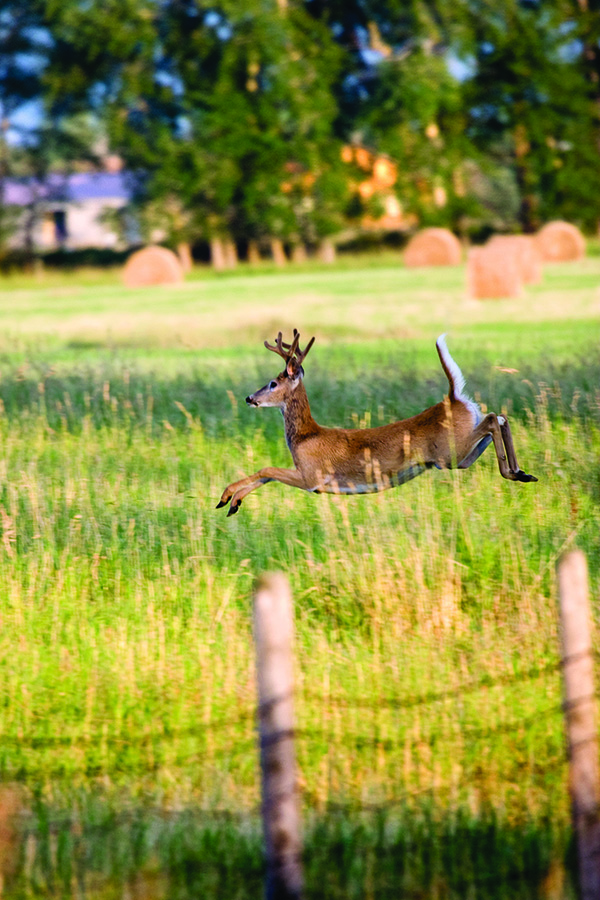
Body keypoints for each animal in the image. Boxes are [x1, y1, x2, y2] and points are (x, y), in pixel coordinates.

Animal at [217, 330, 540, 516]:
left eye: (273, 383)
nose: (249, 398)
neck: (306, 436)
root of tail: (453, 397)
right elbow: (266, 475)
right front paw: (232, 503)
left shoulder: (312, 477)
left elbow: (266, 469)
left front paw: (225, 497)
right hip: (455, 458)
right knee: (499, 417)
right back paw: (522, 473)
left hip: (450, 453)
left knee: (492, 418)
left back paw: (515, 473)